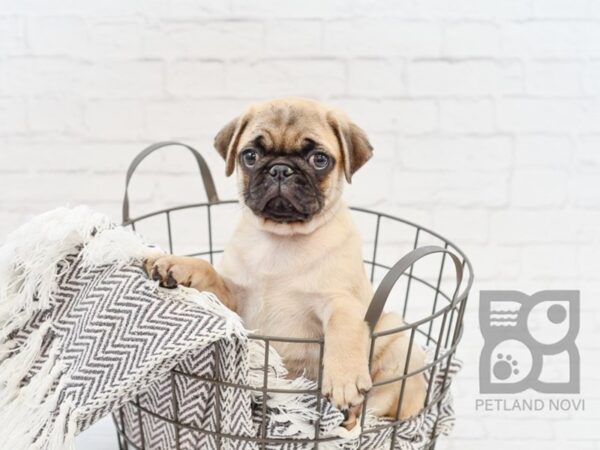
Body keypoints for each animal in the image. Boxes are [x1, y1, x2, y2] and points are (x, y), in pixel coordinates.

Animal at [145, 96, 426, 428]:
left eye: (320, 159)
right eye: (250, 156)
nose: (280, 170)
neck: (281, 240)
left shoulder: (340, 301)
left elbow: (343, 328)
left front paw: (343, 378)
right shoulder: (236, 299)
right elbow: (210, 272)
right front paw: (178, 265)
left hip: (399, 341)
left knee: (379, 407)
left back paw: (349, 415)